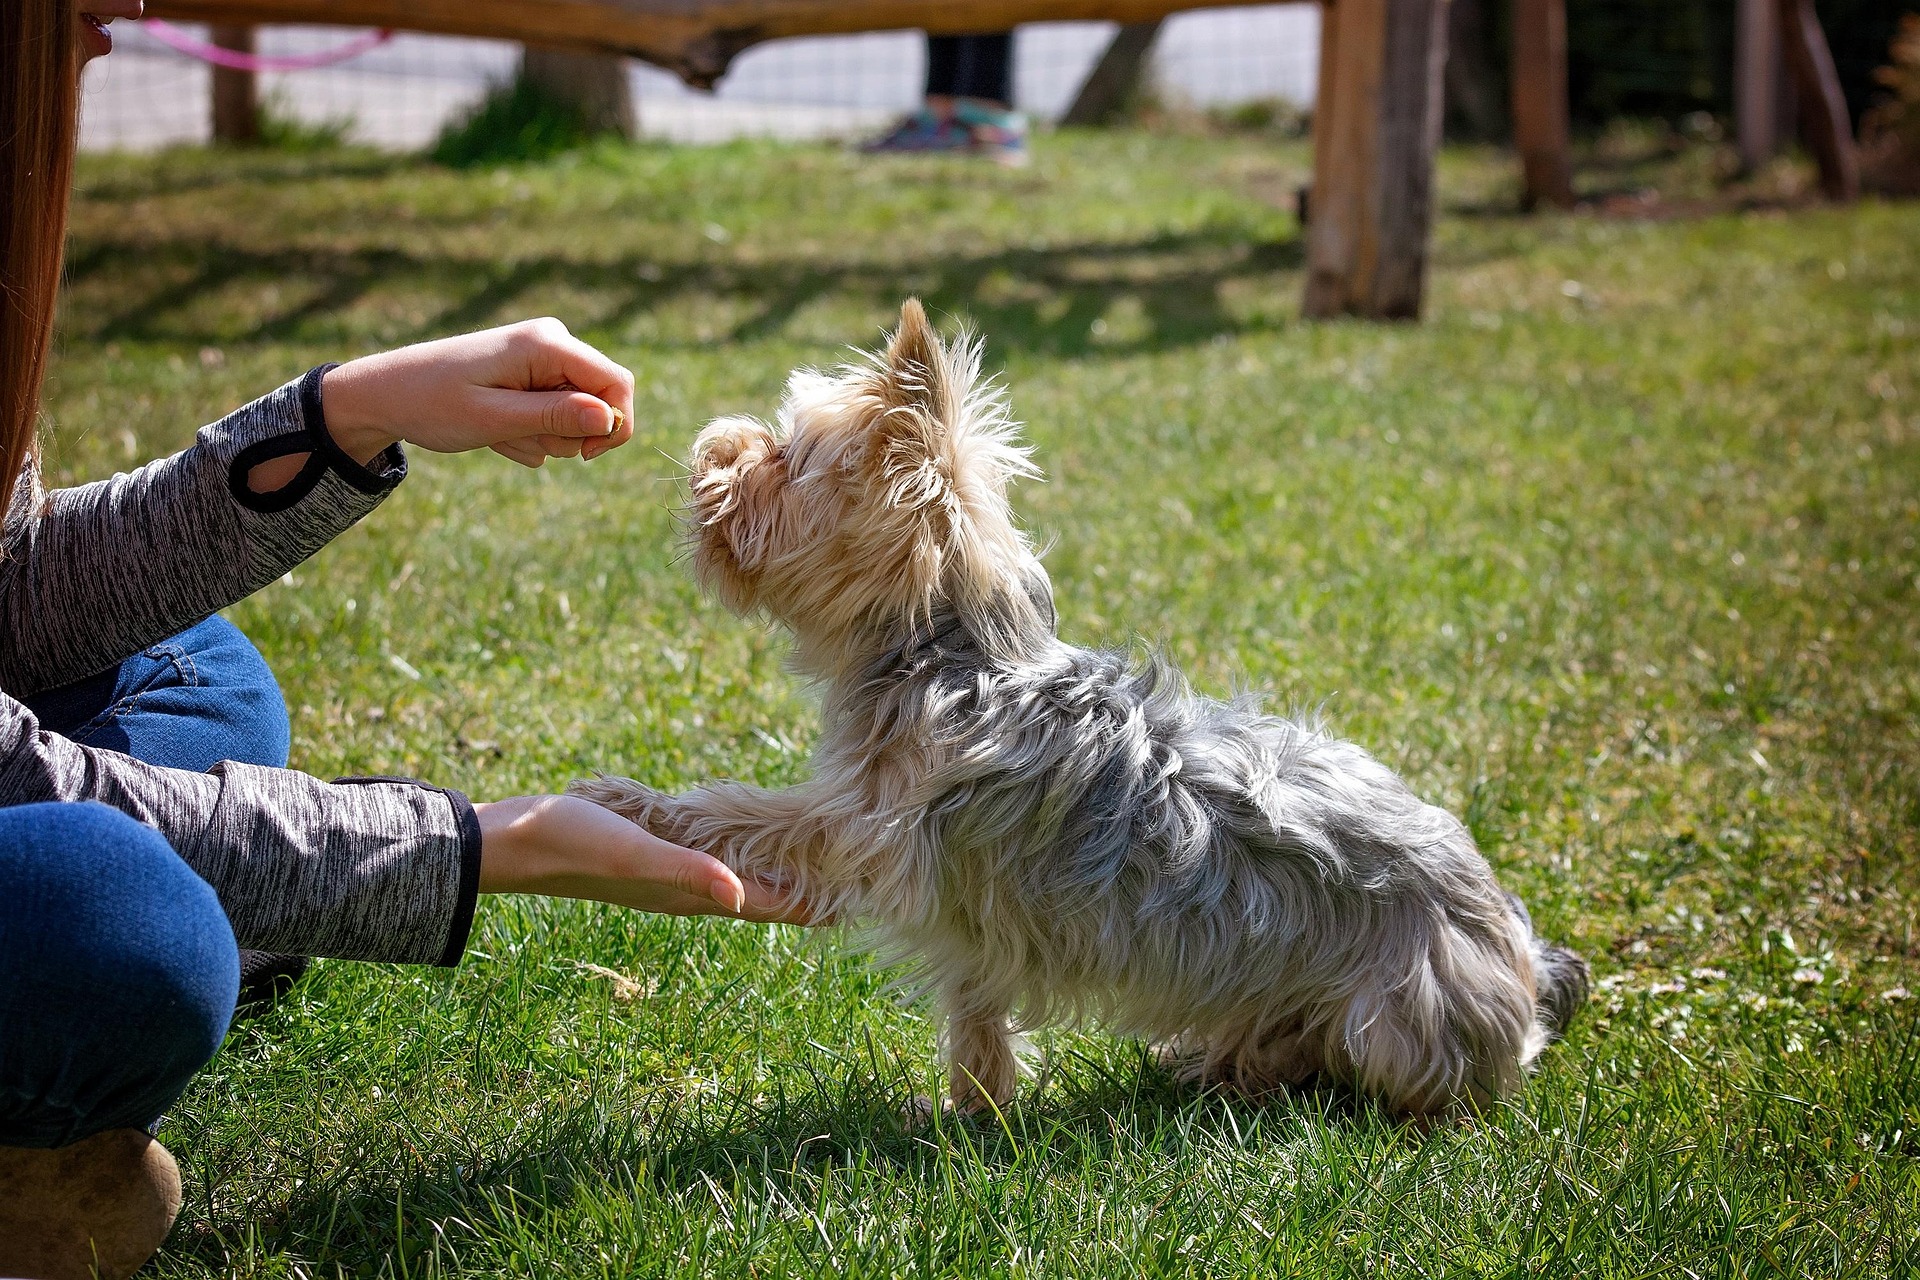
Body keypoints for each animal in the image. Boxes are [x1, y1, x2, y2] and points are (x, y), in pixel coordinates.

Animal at [572, 303, 1589, 1120]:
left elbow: (742, 812)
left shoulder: (865, 829)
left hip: (1397, 1017)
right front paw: (972, 1114)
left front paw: (624, 802)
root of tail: (1522, 954)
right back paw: (1217, 1063)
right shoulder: (965, 916)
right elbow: (977, 1014)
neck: (946, 650)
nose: (713, 446)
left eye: (785, 458)